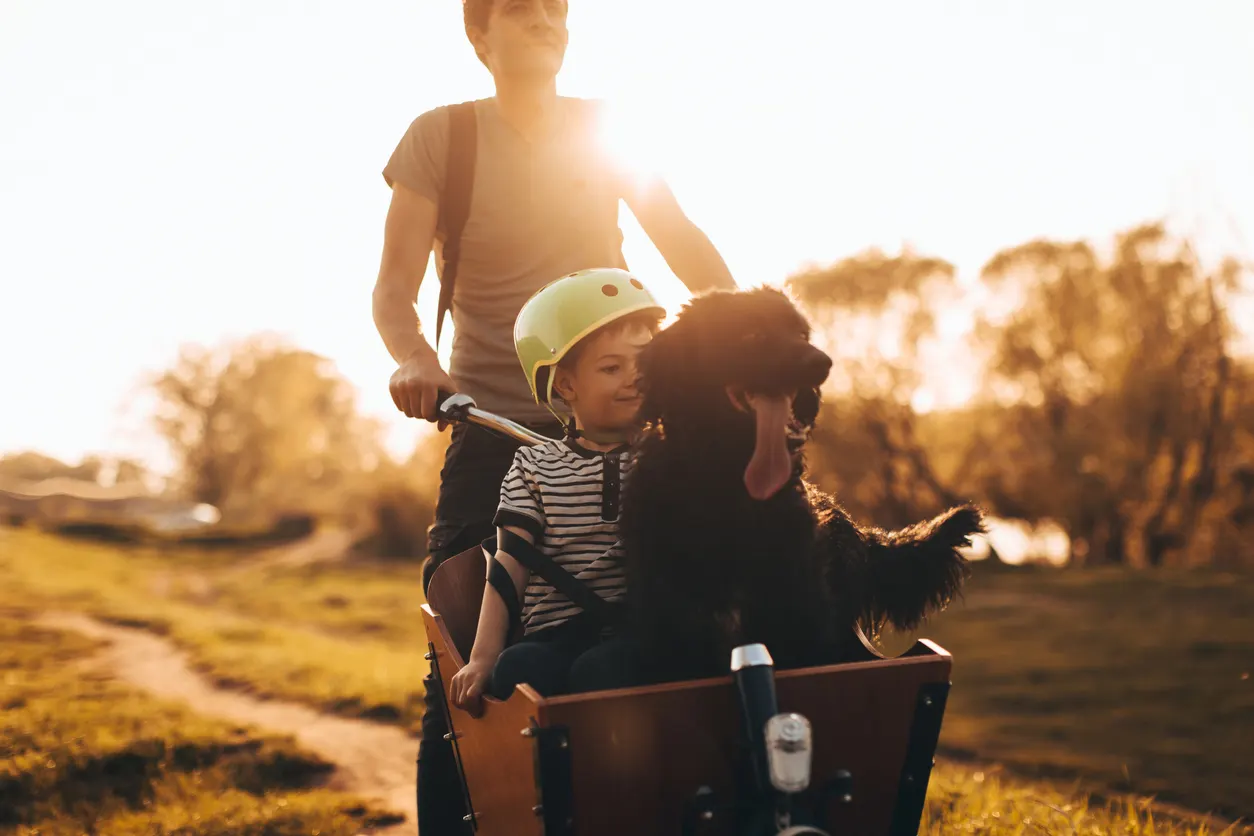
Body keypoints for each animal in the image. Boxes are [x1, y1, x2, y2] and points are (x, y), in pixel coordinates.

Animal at [621, 284, 983, 681]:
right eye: (751, 334)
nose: (822, 362)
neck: (729, 486)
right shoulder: (672, 616)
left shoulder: (798, 609)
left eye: (801, 334)